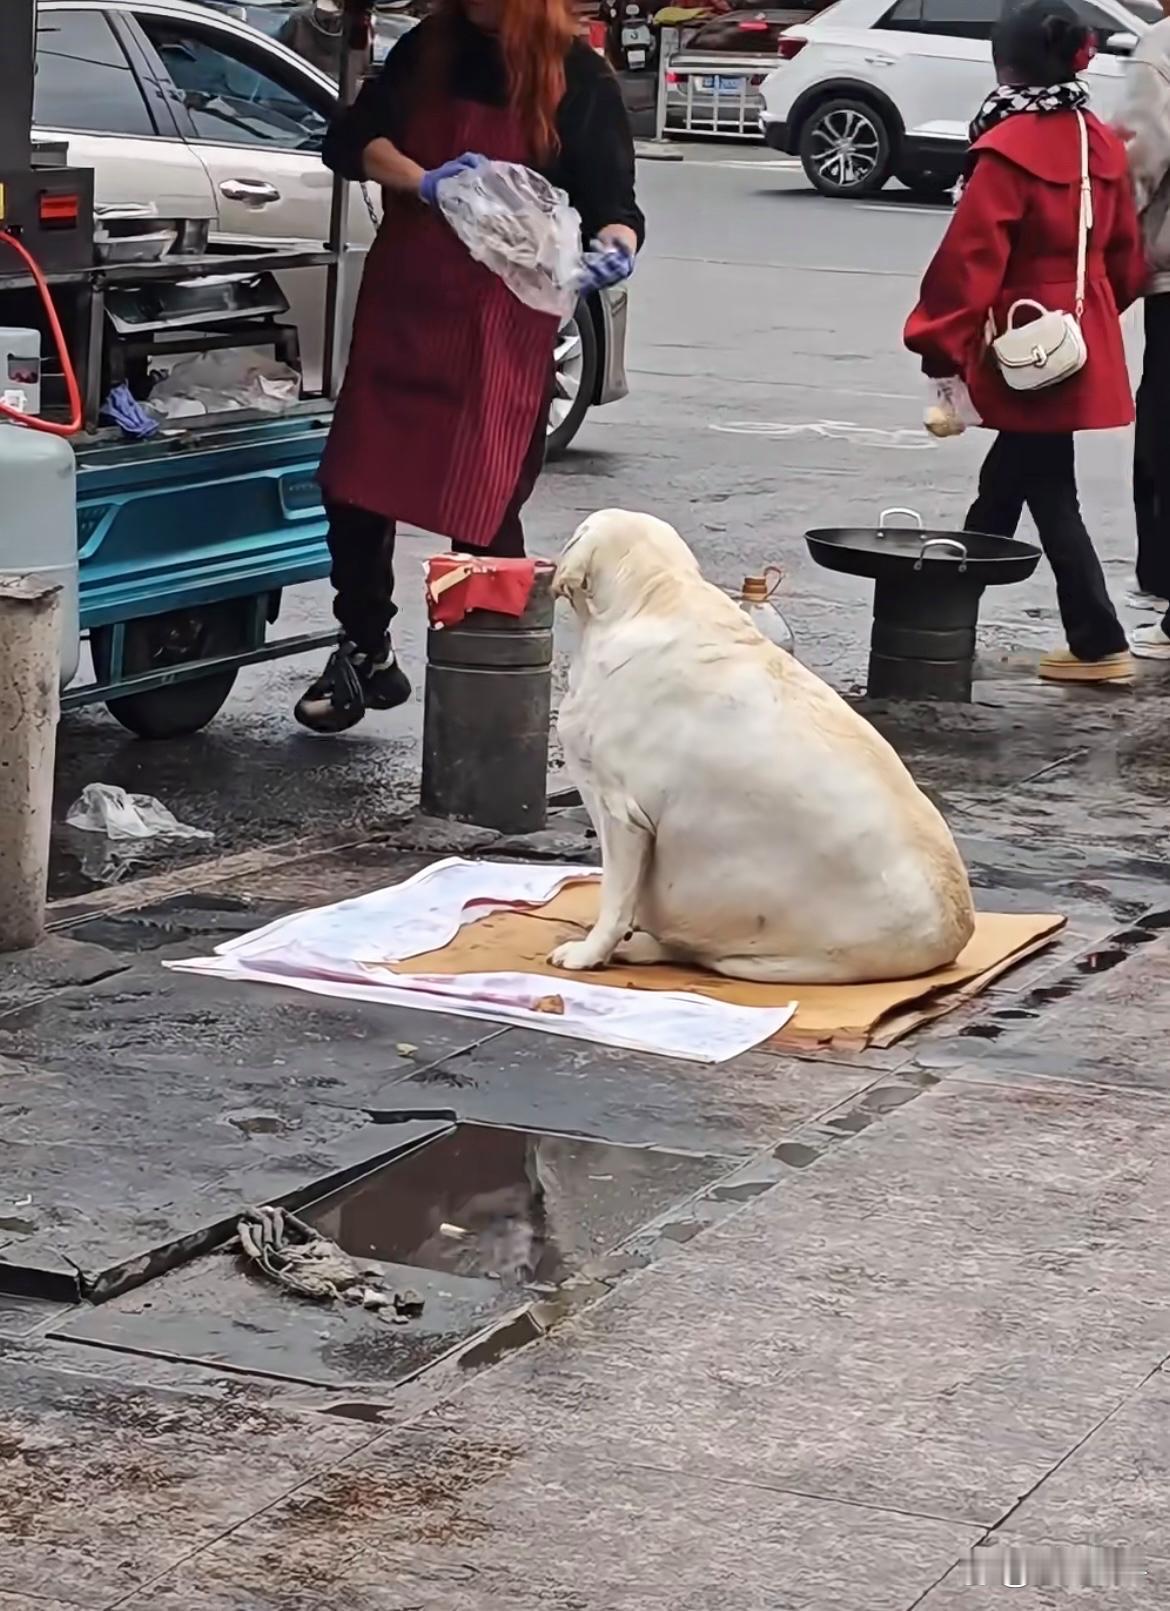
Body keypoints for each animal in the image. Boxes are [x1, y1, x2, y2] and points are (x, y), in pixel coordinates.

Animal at [551, 509, 979, 979]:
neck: (656, 594)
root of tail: (955, 939)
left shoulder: (621, 813)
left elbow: (614, 898)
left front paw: (588, 953)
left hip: (768, 953)